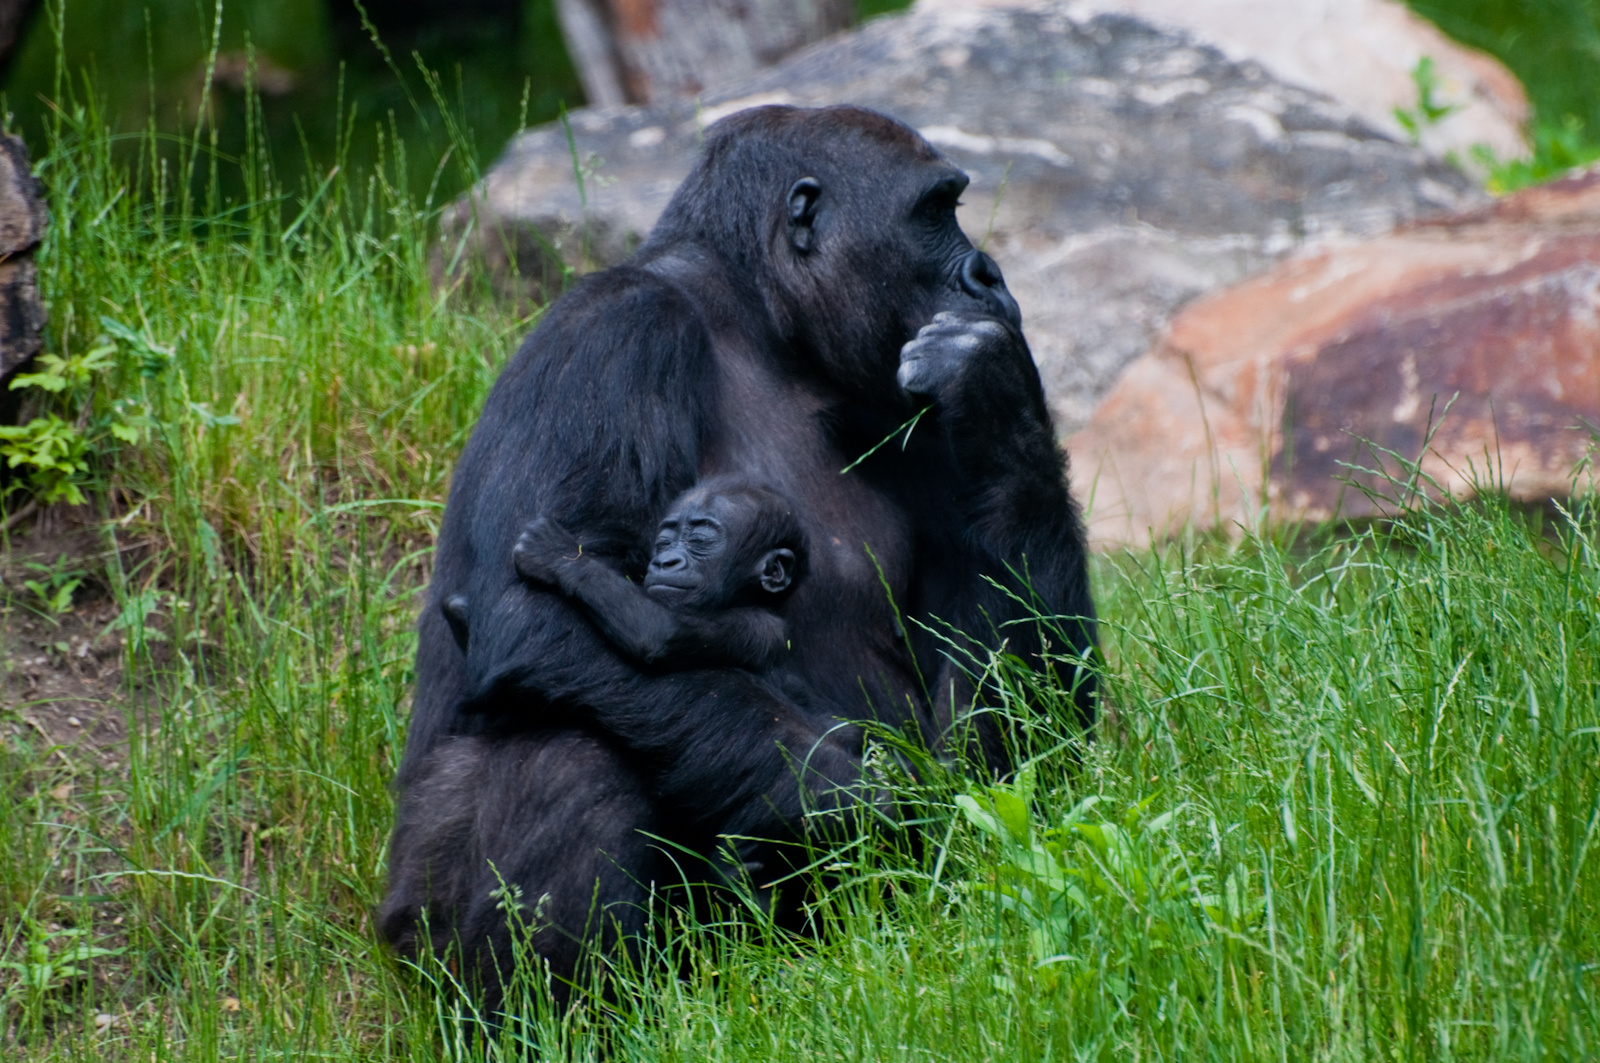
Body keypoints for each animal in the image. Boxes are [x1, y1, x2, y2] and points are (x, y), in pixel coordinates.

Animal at [508, 477, 806, 669]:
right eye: (663, 542)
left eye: (699, 540)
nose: (666, 561)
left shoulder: (758, 627)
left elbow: (660, 630)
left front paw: (557, 553)